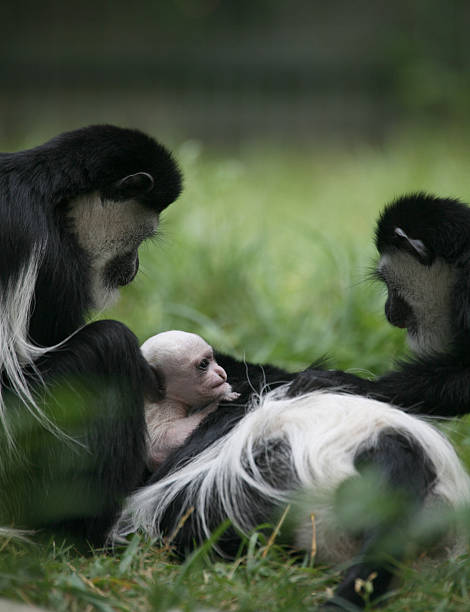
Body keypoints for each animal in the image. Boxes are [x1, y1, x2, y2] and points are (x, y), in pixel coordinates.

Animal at [140, 330, 239, 468]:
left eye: (213, 358)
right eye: (204, 364)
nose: (221, 373)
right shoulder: (163, 406)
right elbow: (160, 445)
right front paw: (218, 400)